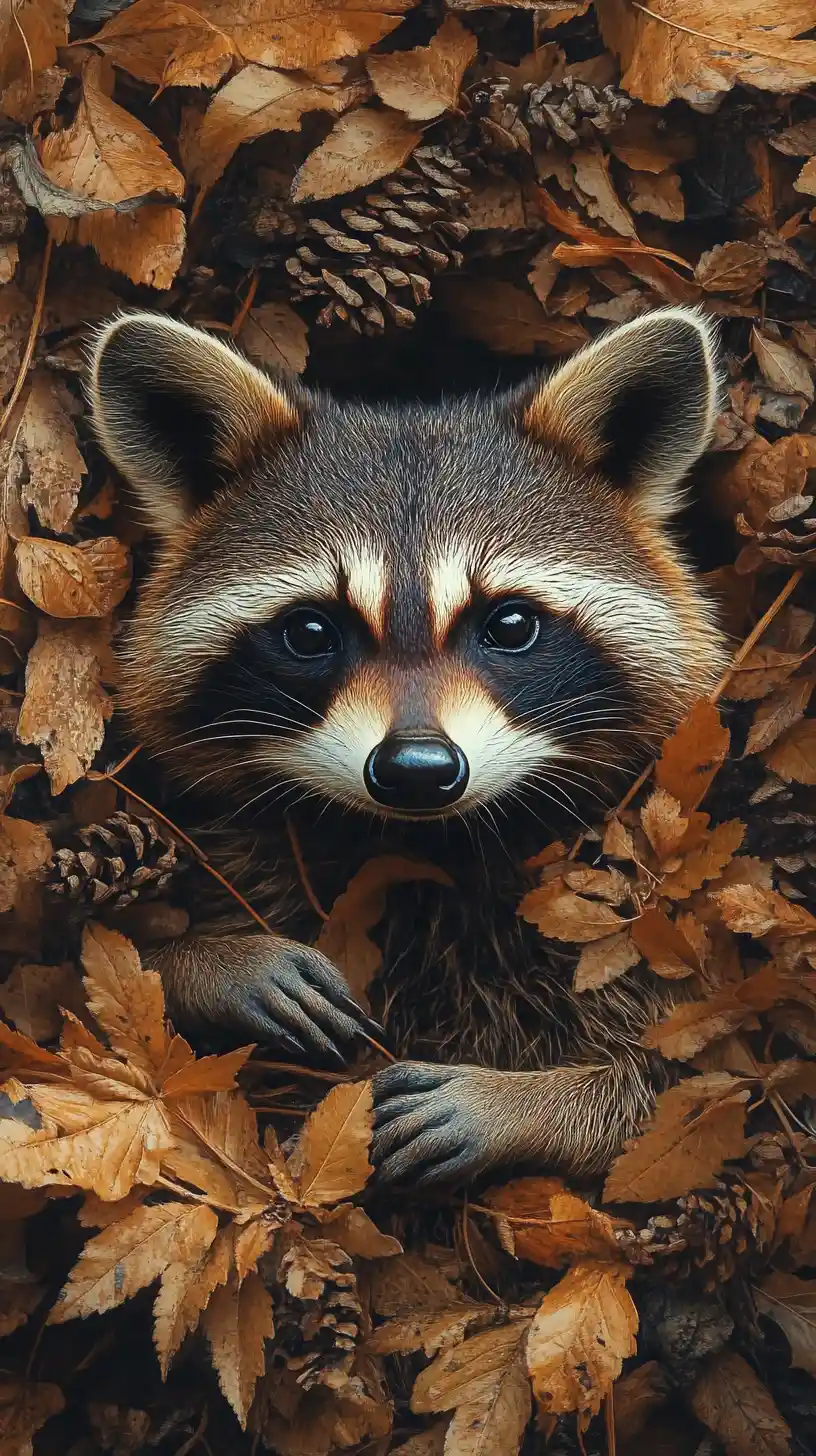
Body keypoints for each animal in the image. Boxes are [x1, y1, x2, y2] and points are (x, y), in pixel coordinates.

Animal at [89, 306, 726, 1189]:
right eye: (311, 632)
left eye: (510, 624)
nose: (417, 771)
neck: (426, 845)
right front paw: (215, 961)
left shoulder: (652, 936)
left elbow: (680, 1091)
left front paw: (520, 1105)